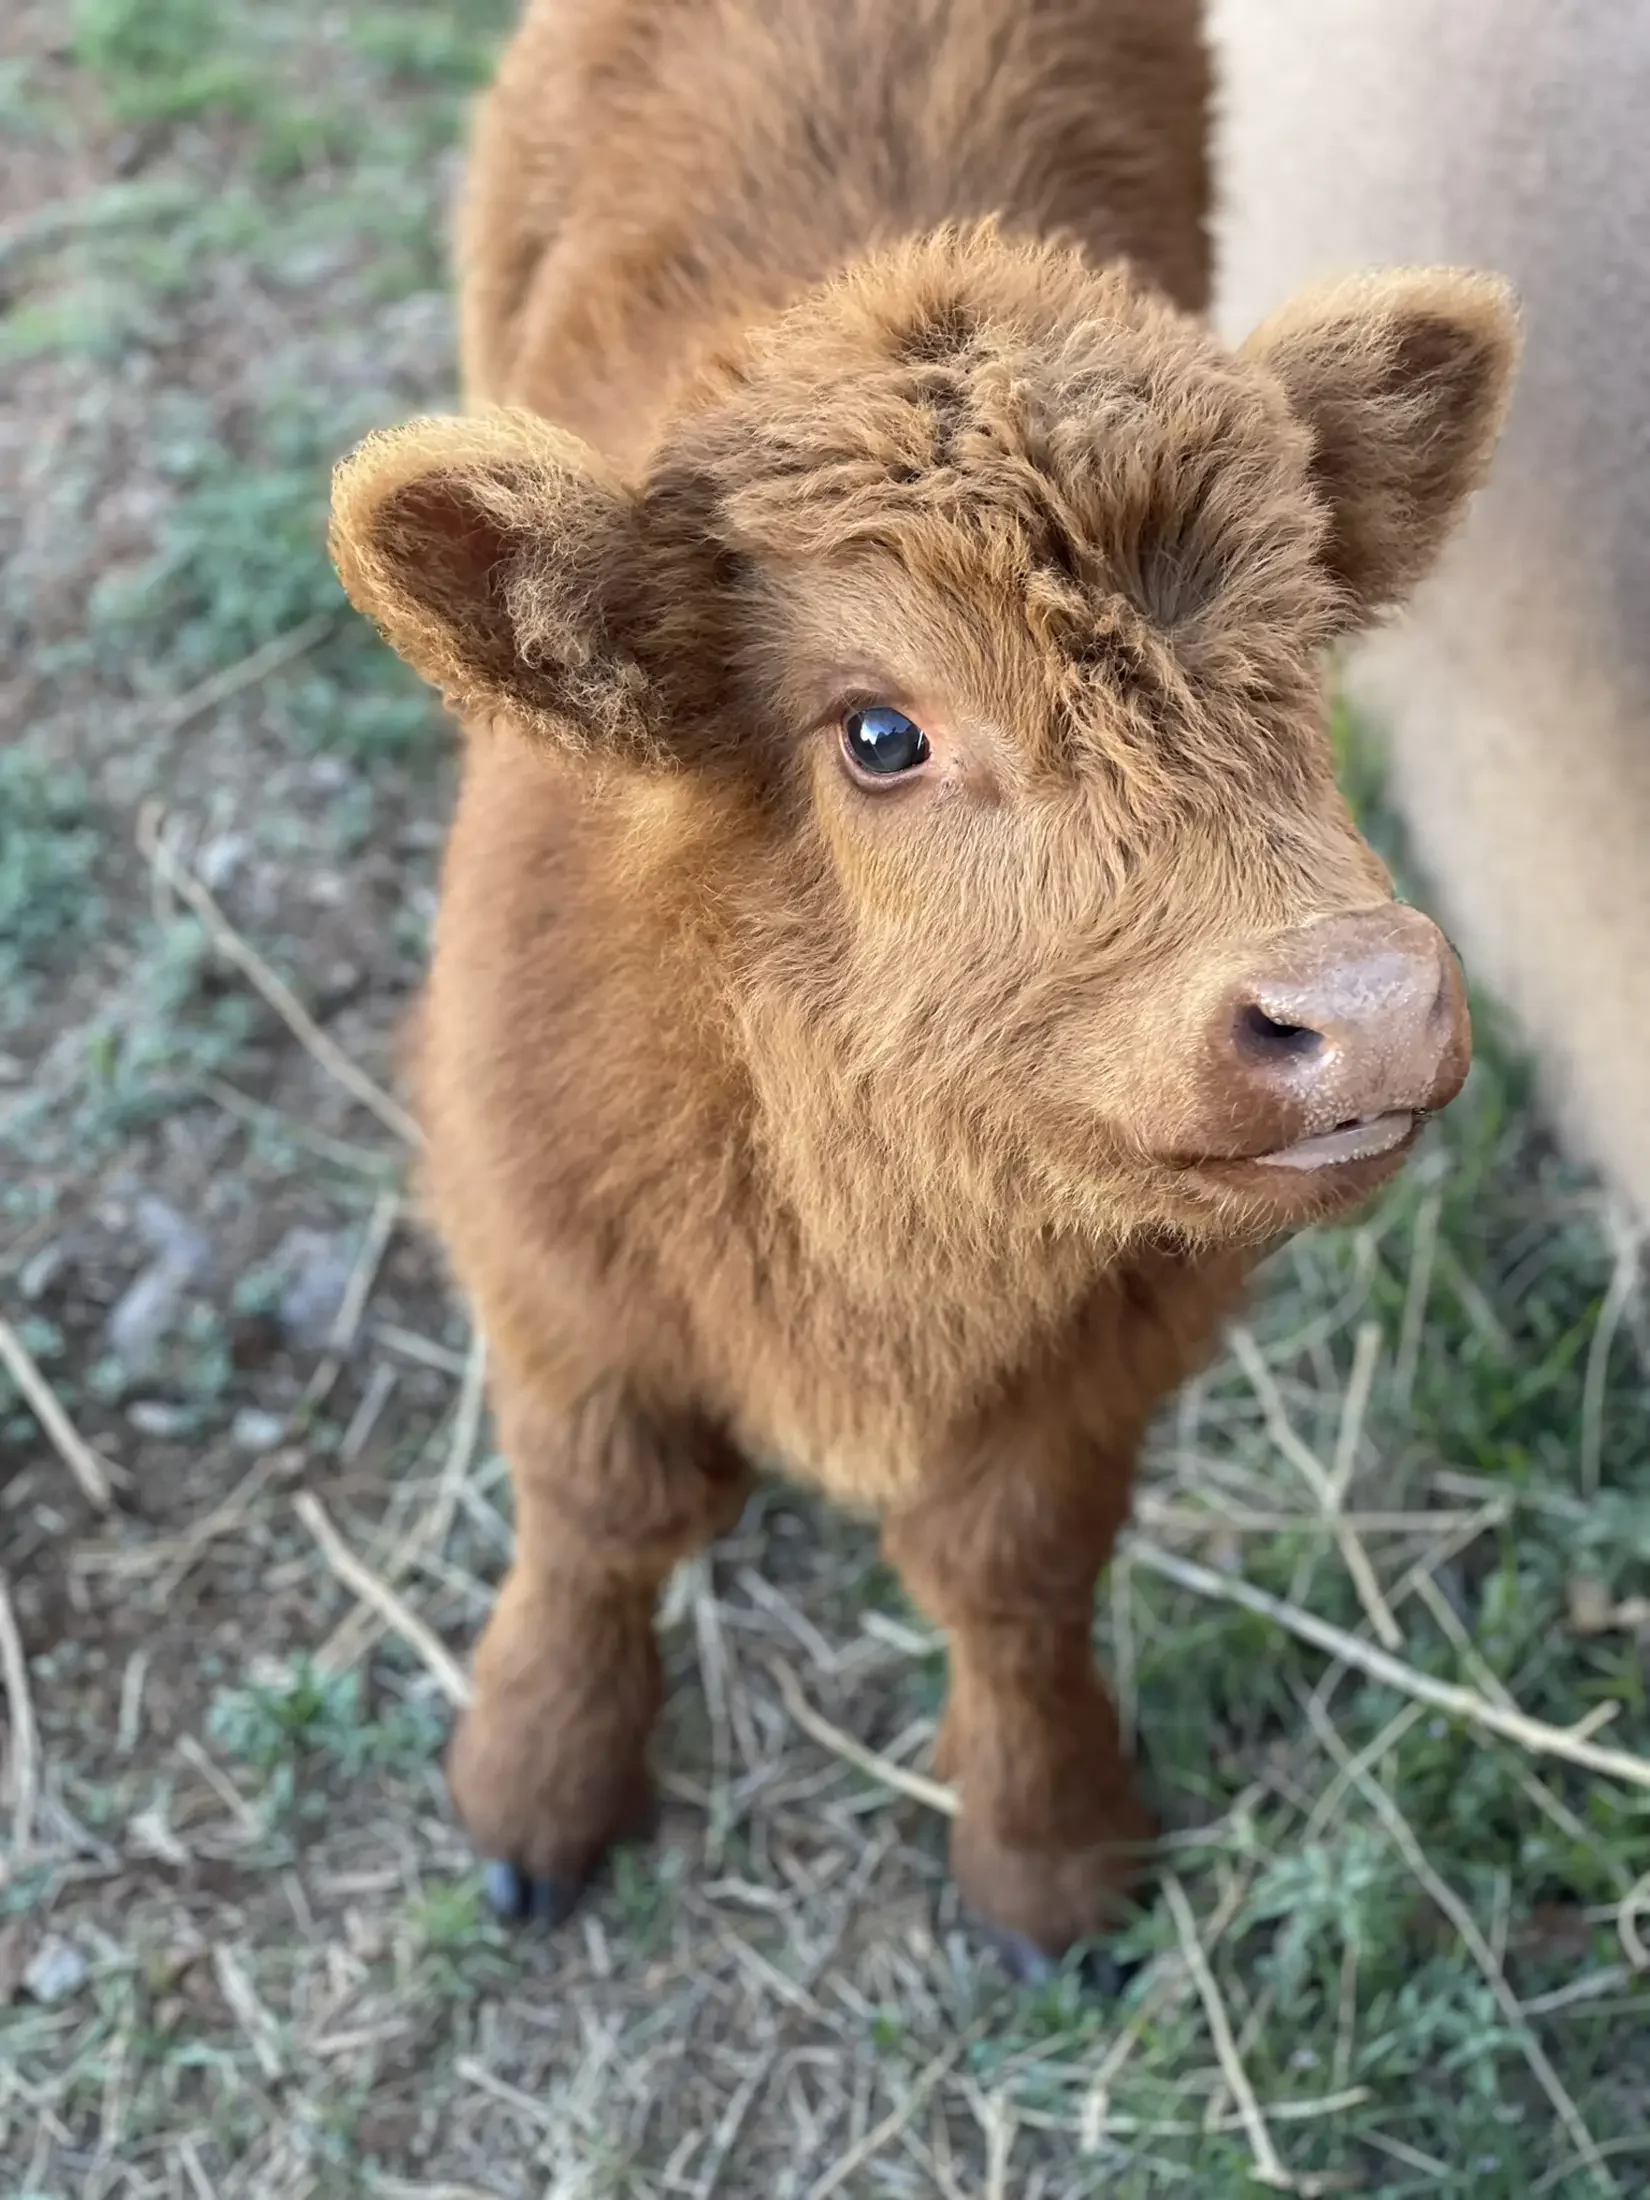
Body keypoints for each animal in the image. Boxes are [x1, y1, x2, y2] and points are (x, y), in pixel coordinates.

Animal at [328, 0, 1517, 1971]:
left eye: (1295, 653)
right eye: (881, 732)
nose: (1361, 1005)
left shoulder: (1113, 1348)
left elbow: (1015, 1572)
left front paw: (1048, 1853)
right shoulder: (546, 1259)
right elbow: (596, 1519)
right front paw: (533, 1792)